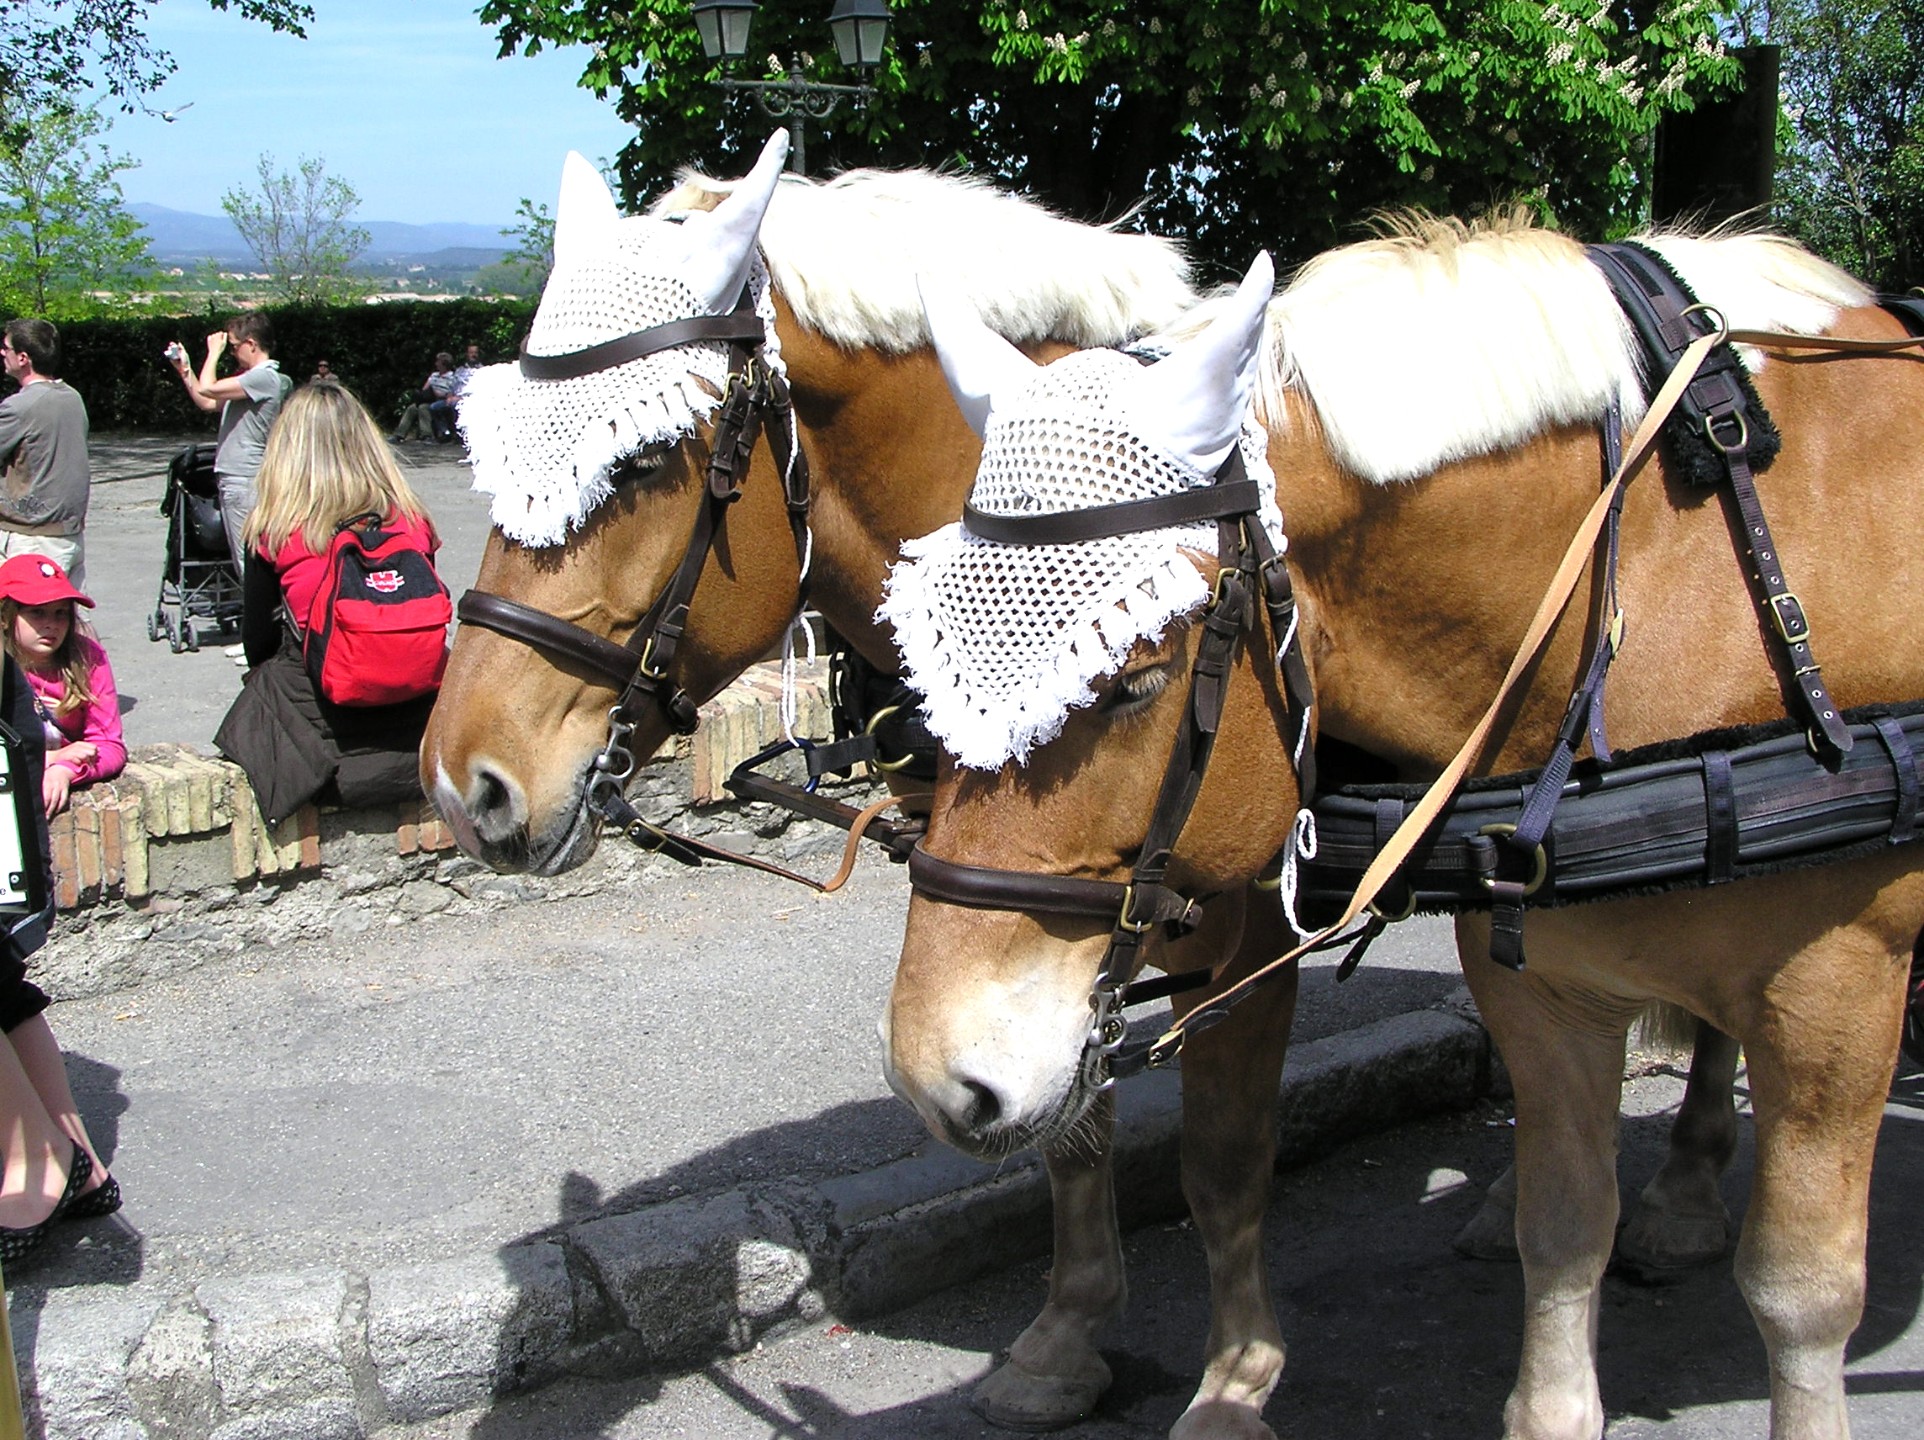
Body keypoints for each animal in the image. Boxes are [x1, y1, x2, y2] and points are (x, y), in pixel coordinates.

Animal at [881, 221, 1924, 1439]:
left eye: (1135, 676)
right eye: (923, 650)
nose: (938, 1077)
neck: (1668, 582)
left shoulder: (1840, 992)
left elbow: (1802, 1292)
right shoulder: (1546, 985)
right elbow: (1561, 1233)